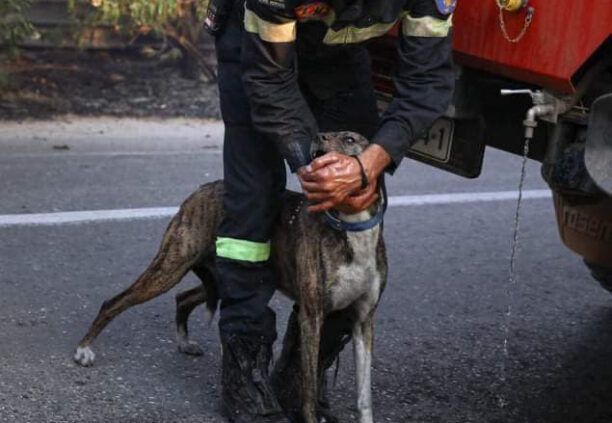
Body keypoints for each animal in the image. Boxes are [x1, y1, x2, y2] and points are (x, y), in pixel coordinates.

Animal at [73, 132, 388, 423]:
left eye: (350, 139)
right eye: (327, 134)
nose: (318, 136)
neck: (351, 227)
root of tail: (203, 189)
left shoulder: (363, 321)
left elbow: (364, 393)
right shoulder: (312, 316)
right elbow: (308, 389)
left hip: (215, 276)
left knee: (183, 297)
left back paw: (184, 342)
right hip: (171, 266)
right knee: (115, 302)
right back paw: (84, 350)